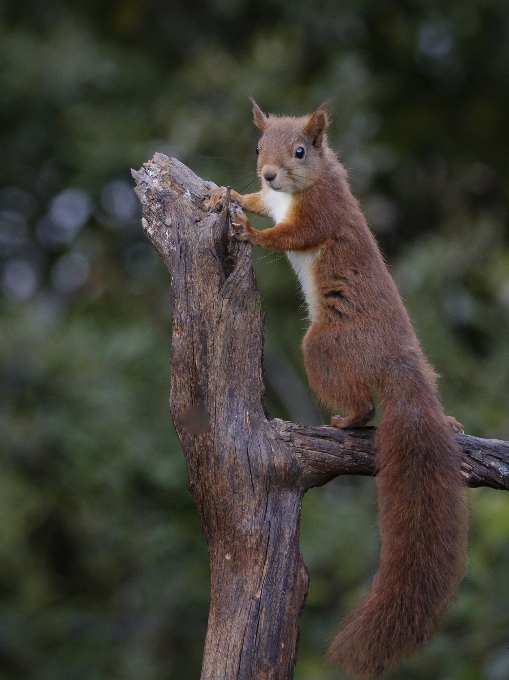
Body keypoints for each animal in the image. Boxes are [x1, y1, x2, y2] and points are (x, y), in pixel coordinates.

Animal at [207, 103, 468, 676]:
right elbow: (259, 203)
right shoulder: (276, 199)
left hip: (325, 347)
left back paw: (347, 419)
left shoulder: (321, 212)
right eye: (258, 148)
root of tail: (399, 364)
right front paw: (225, 194)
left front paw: (250, 232)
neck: (302, 186)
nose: (269, 173)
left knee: (364, 402)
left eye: (301, 150)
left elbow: (293, 235)